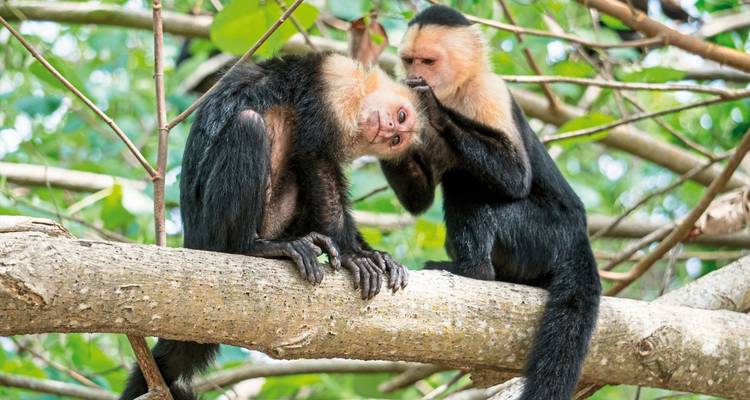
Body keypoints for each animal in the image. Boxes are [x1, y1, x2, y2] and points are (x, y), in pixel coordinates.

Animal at [120, 52, 425, 400]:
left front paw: (374, 255)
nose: (388, 129)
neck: (359, 93)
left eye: (397, 138)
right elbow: (314, 157)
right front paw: (354, 255)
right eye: (400, 117)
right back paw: (253, 248)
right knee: (249, 126)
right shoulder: (335, 87)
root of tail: (194, 241)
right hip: (212, 230)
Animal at [379, 6, 601, 400]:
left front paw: (436, 109)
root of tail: (579, 237)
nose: (413, 75)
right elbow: (419, 197)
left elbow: (515, 176)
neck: (455, 92)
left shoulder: (488, 91)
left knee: (466, 182)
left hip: (546, 235)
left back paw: (473, 269)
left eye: (428, 61)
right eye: (408, 60)